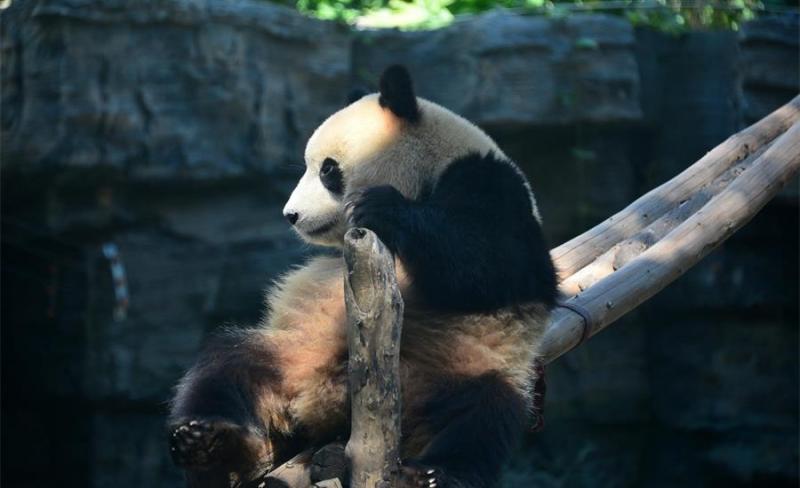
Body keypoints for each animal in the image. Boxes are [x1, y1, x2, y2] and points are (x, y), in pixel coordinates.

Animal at [169, 66, 556, 488]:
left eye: (327, 169)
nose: (291, 215)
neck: (432, 167)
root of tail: (321, 402)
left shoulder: (493, 187)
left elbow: (497, 262)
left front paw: (380, 206)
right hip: (291, 351)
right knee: (225, 365)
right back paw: (209, 443)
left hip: (466, 367)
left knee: (481, 417)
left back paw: (434, 473)